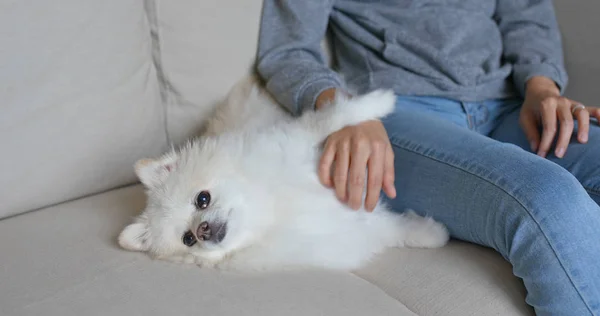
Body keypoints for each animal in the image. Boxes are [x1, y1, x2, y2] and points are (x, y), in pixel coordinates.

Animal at [117, 74, 448, 272]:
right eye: (188, 240)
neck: (268, 205)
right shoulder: (351, 228)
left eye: (202, 199)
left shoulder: (302, 137)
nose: (203, 231)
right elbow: (393, 230)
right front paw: (433, 235)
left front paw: (382, 99)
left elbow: (335, 116)